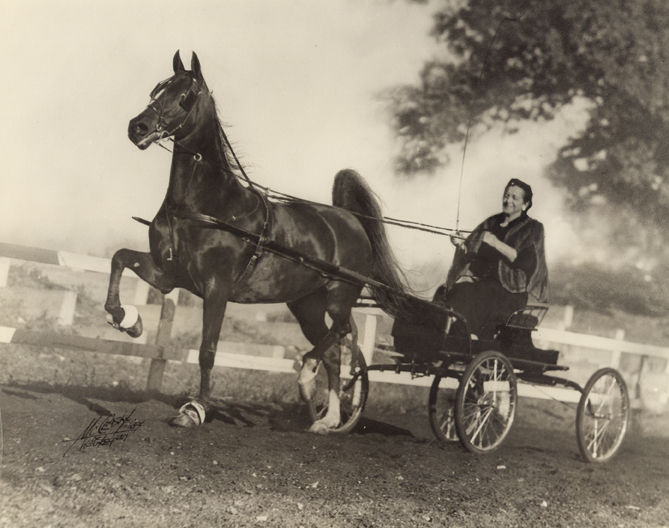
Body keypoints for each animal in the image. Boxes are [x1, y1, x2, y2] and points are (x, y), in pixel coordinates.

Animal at [103, 51, 410, 434]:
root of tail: (349, 219)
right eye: (157, 89)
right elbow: (119, 258)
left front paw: (195, 409)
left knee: (340, 334)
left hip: (340, 295)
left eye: (184, 94)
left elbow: (207, 349)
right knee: (333, 352)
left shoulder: (216, 287)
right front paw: (128, 320)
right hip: (305, 304)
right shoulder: (167, 275)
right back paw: (325, 418)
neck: (201, 207)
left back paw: (310, 382)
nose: (138, 127)